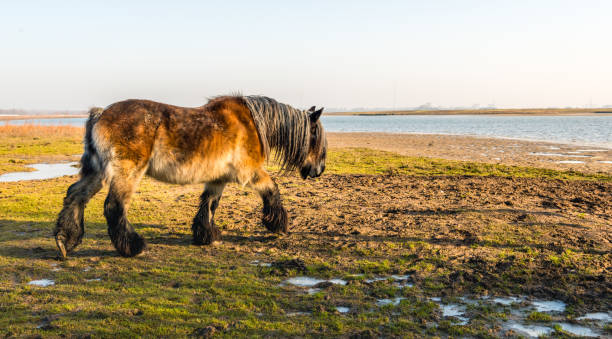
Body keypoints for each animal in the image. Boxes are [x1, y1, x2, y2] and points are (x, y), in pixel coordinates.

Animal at [55, 95, 328, 258]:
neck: (252, 124)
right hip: (127, 173)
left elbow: (209, 205)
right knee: (114, 207)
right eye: (315, 136)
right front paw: (277, 224)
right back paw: (133, 247)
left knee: (75, 196)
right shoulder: (250, 173)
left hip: (99, 173)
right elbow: (273, 190)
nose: (319, 171)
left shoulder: (218, 179)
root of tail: (100, 114)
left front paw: (206, 235)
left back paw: (65, 240)